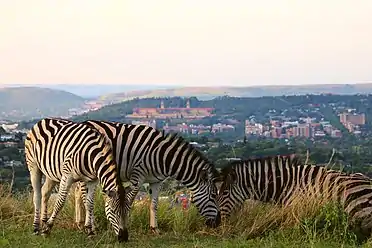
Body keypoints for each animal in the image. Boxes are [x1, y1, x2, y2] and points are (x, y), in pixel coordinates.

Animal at [72, 119, 221, 233]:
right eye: (214, 195)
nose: (218, 223)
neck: (162, 157)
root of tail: (84, 122)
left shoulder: (157, 181)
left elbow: (154, 204)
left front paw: (155, 229)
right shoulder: (137, 176)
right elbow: (128, 203)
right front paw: (125, 225)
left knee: (77, 192)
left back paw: (79, 223)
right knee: (84, 196)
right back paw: (92, 226)